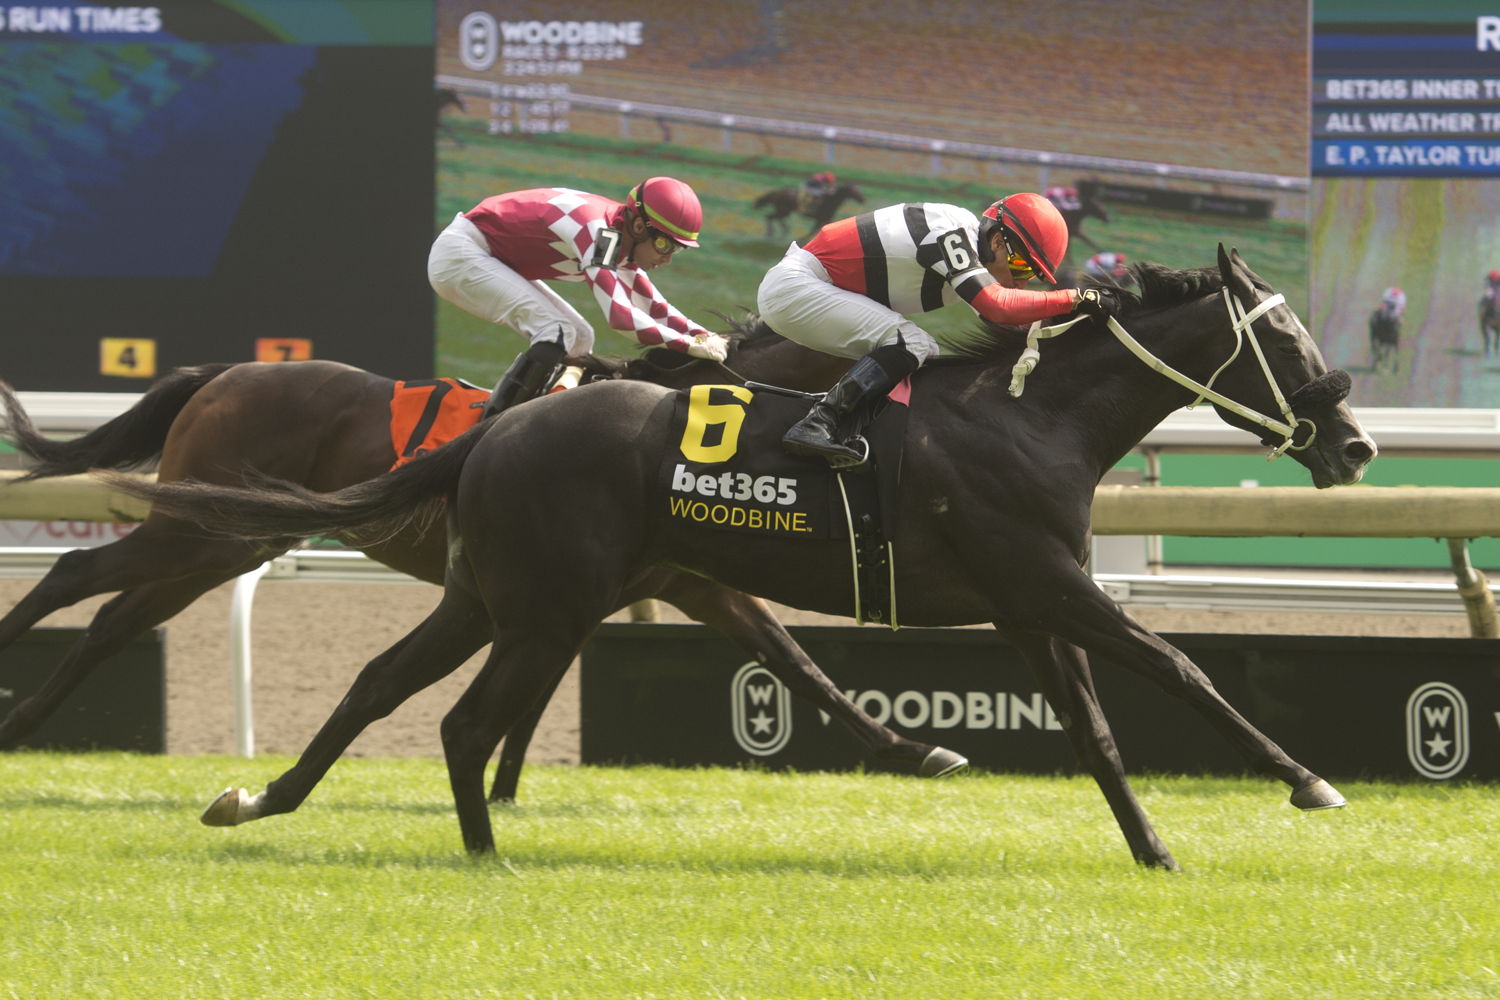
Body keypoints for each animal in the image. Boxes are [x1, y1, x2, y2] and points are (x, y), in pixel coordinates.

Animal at [105, 248, 1374, 869]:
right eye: (1285, 338)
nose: (1355, 440)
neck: (1033, 414)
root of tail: (499, 427)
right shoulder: (1051, 584)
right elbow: (1182, 669)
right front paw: (1311, 780)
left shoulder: (1029, 605)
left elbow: (1102, 735)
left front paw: (1154, 848)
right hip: (545, 608)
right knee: (461, 723)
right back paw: (481, 851)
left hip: (492, 597)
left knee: (381, 687)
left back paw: (258, 798)